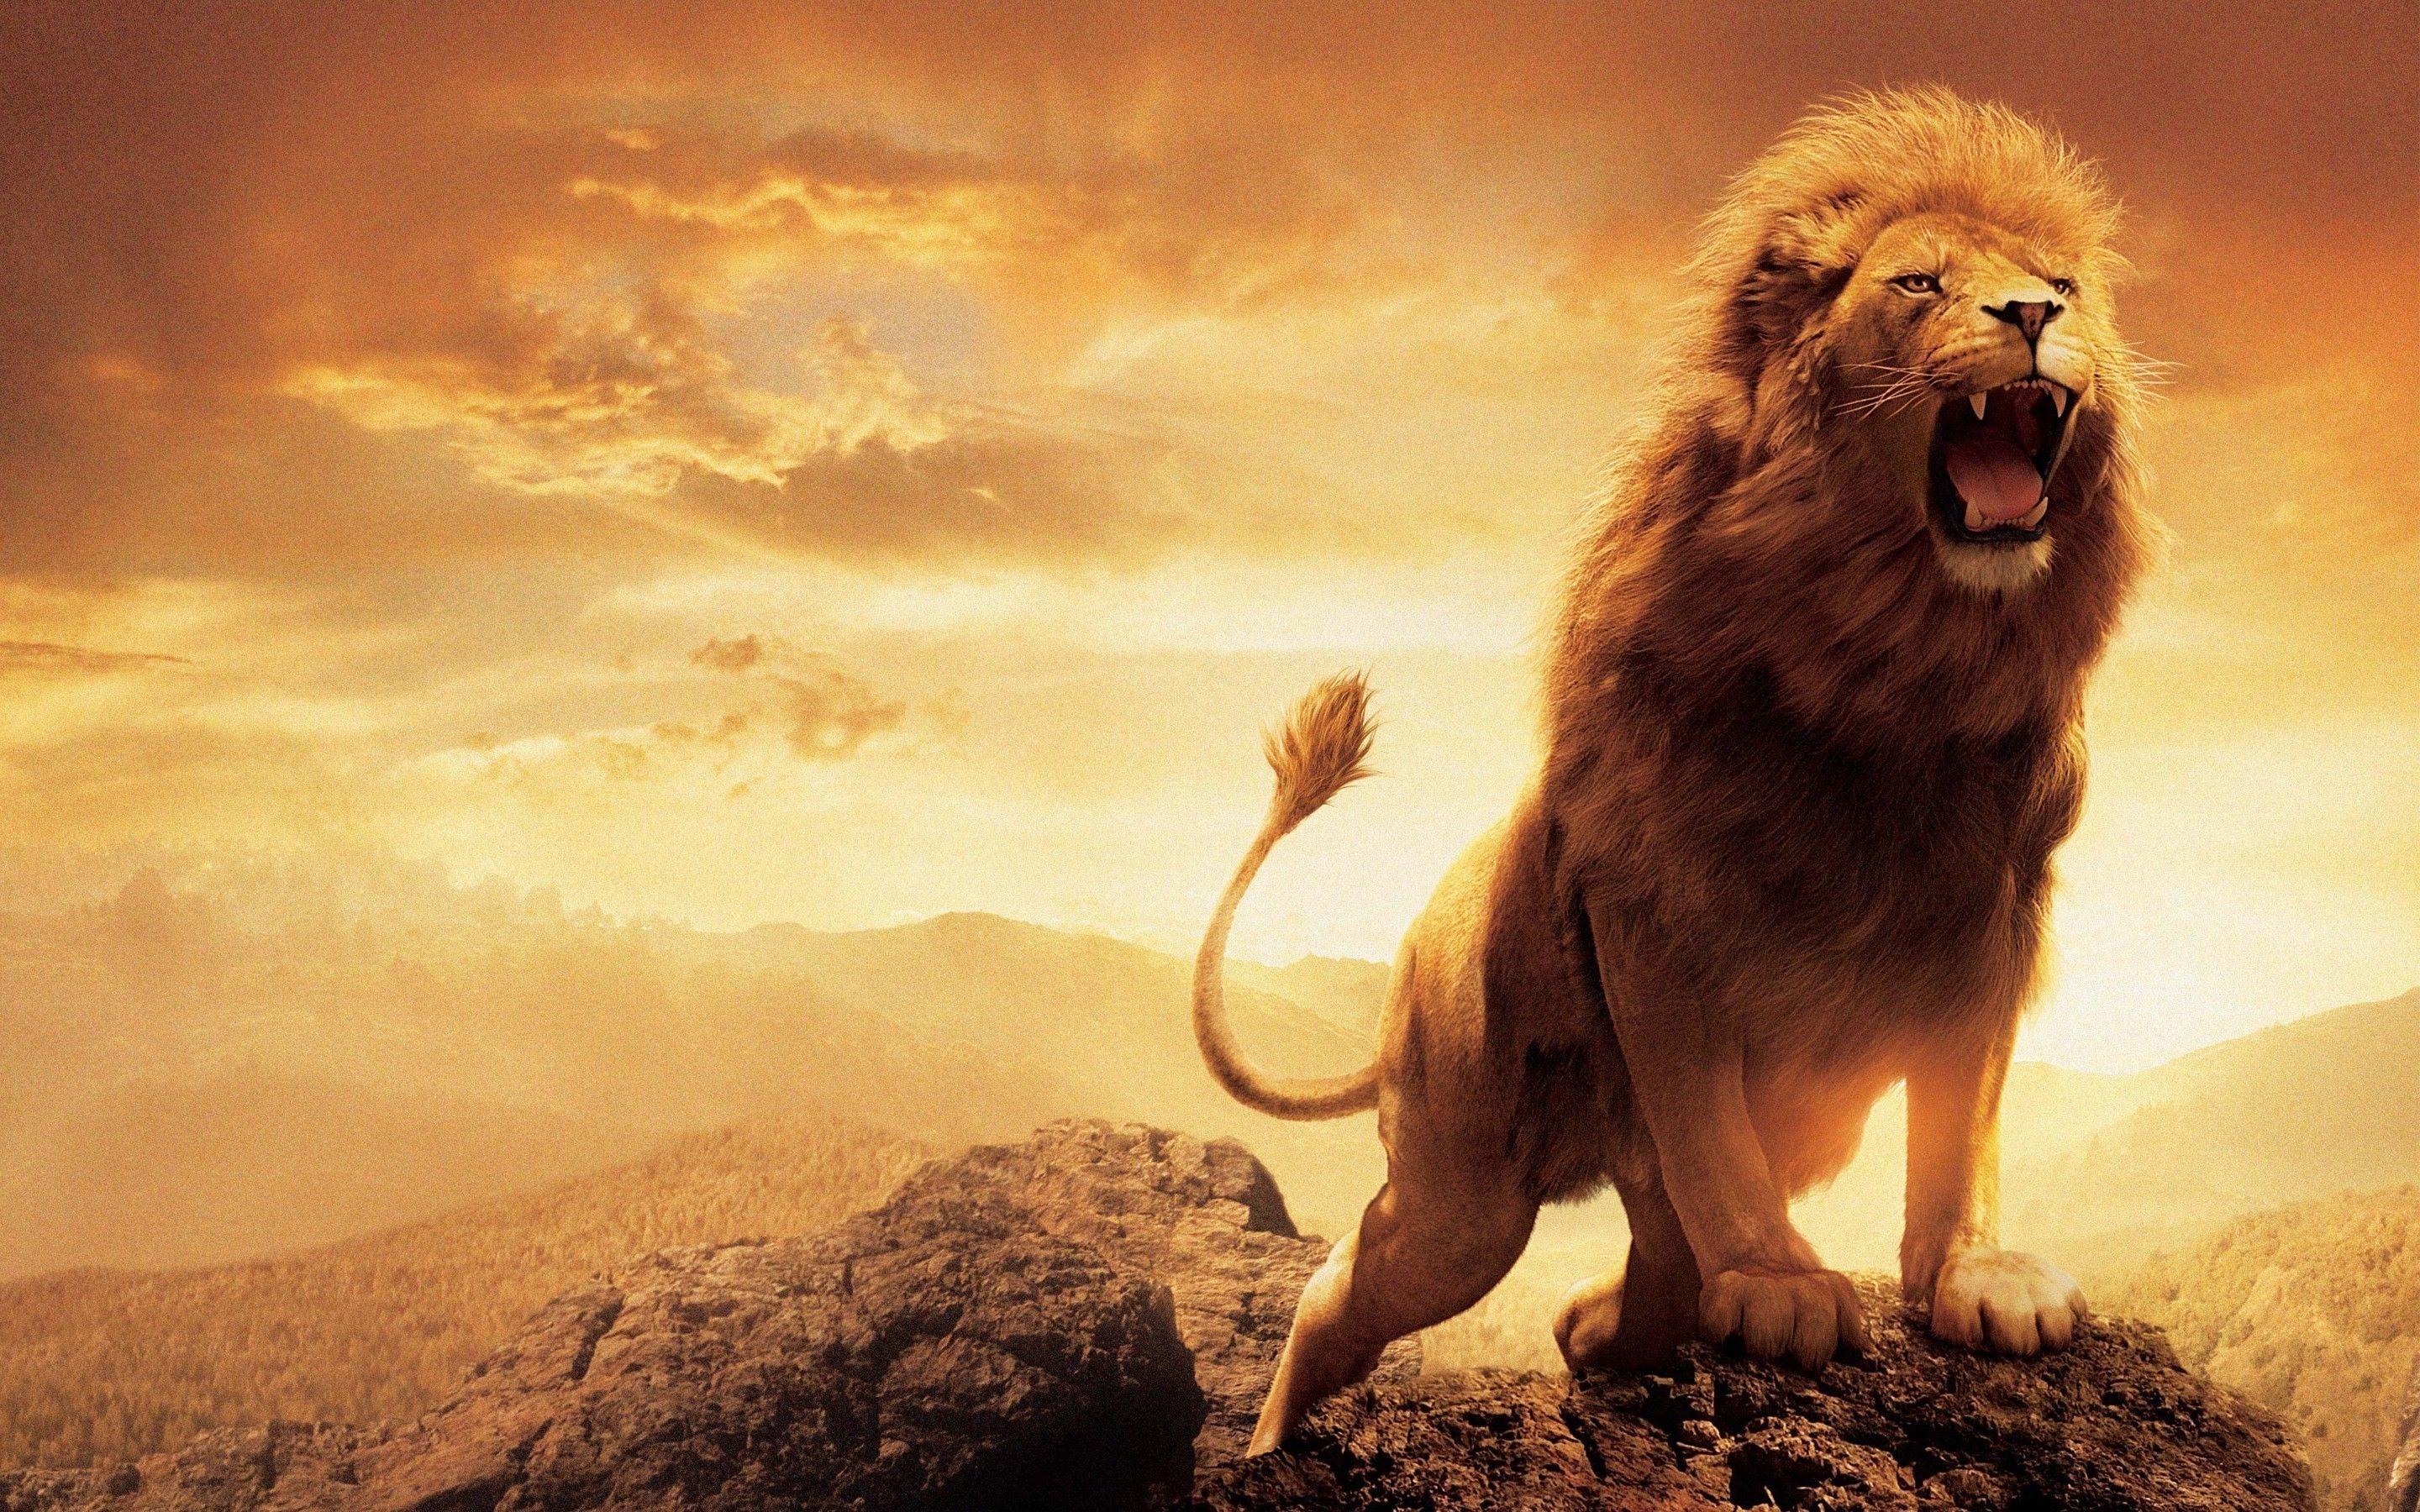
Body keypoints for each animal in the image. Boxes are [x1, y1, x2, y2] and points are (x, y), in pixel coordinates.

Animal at [1191, 88, 2159, 1455]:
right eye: (1919, 283)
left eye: (2064, 286)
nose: (2030, 318)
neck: (1896, 662)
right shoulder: (1658, 911)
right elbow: (1709, 1130)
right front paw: (1779, 1282)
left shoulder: (1991, 912)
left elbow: (1959, 1121)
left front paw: (1976, 1275)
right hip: (1459, 1191)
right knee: (1350, 1286)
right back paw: (1270, 1444)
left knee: (1640, 1268)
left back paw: (1597, 1328)